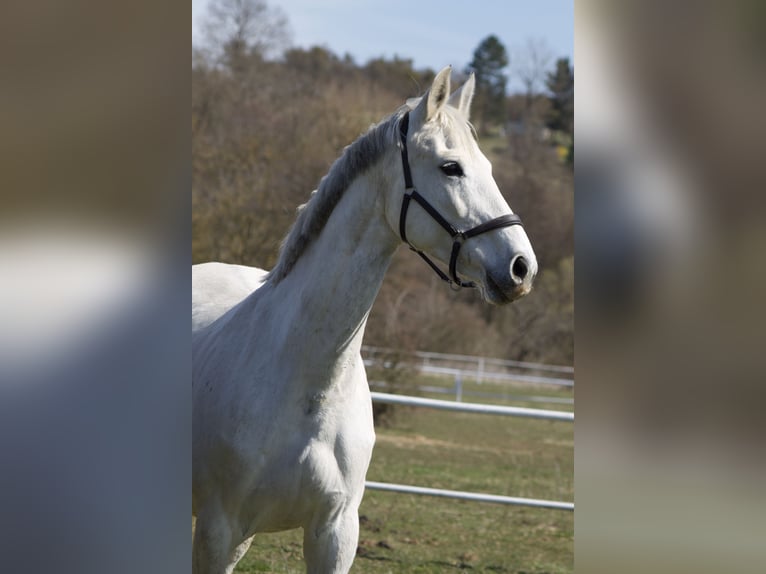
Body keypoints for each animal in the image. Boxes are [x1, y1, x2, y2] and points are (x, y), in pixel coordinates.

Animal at [191, 67, 537, 574]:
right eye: (451, 168)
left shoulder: (335, 535)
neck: (309, 386)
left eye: (490, 169)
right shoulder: (219, 532)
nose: (521, 267)